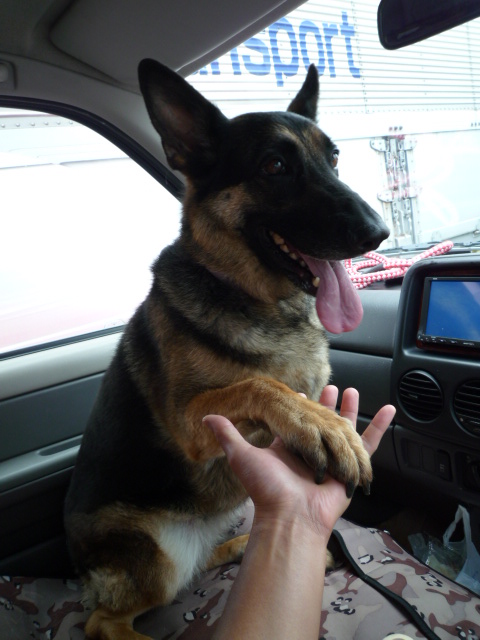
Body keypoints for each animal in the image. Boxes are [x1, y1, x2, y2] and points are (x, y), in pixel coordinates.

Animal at [64, 60, 390, 640]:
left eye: (333, 158)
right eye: (274, 165)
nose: (379, 234)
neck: (256, 299)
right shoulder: (190, 422)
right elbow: (260, 382)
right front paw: (321, 424)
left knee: (199, 564)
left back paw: (238, 546)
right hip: (157, 553)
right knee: (105, 619)